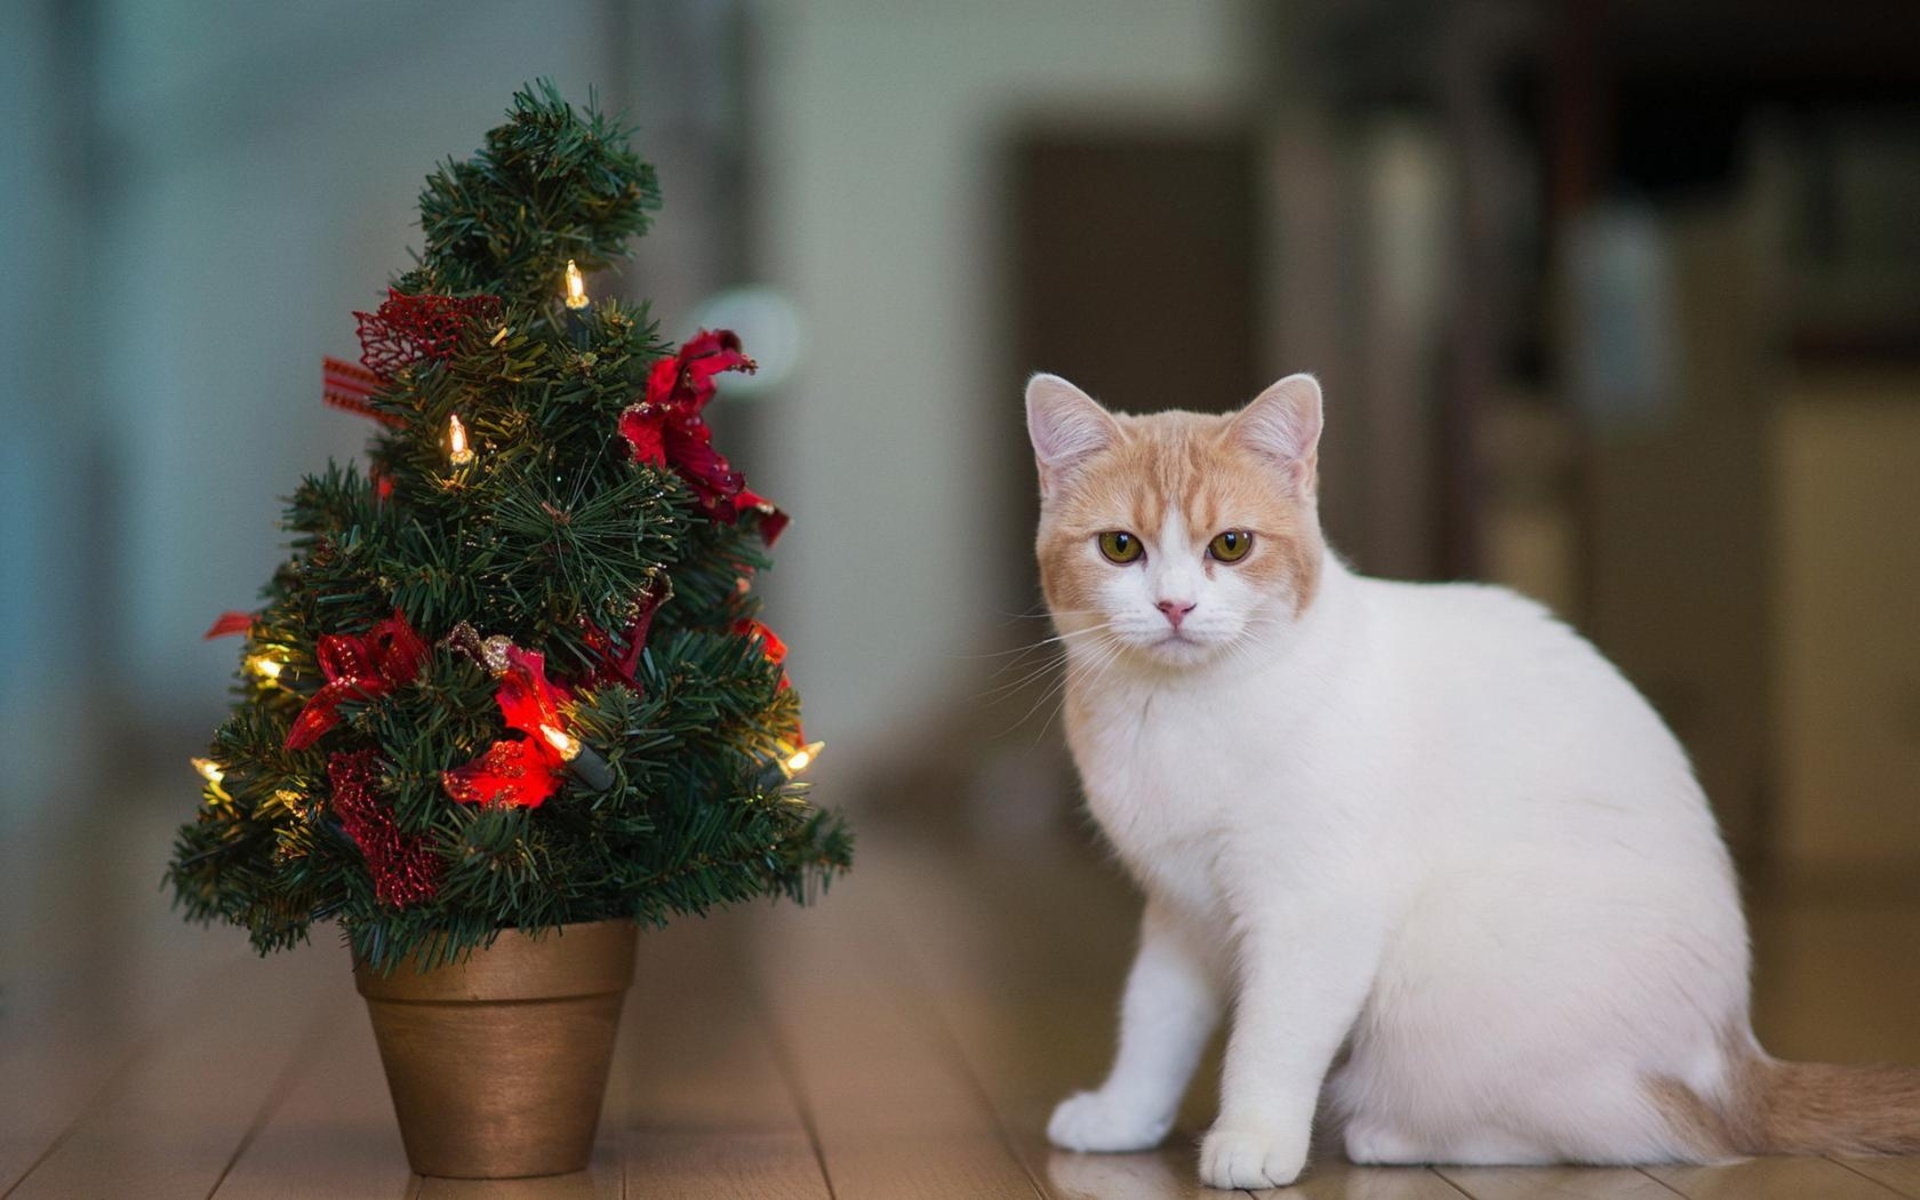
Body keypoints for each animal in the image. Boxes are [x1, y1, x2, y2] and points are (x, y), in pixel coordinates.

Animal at [1029, 372, 1920, 1190]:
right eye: (1120, 548)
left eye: (1231, 546)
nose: (1175, 606)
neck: (1176, 715)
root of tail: (1737, 1058)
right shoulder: (1181, 913)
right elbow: (1154, 1022)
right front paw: (1123, 1117)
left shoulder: (1313, 915)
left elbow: (1270, 1040)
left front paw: (1252, 1140)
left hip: (1446, 988)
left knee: (1642, 1133)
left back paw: (1391, 1136)